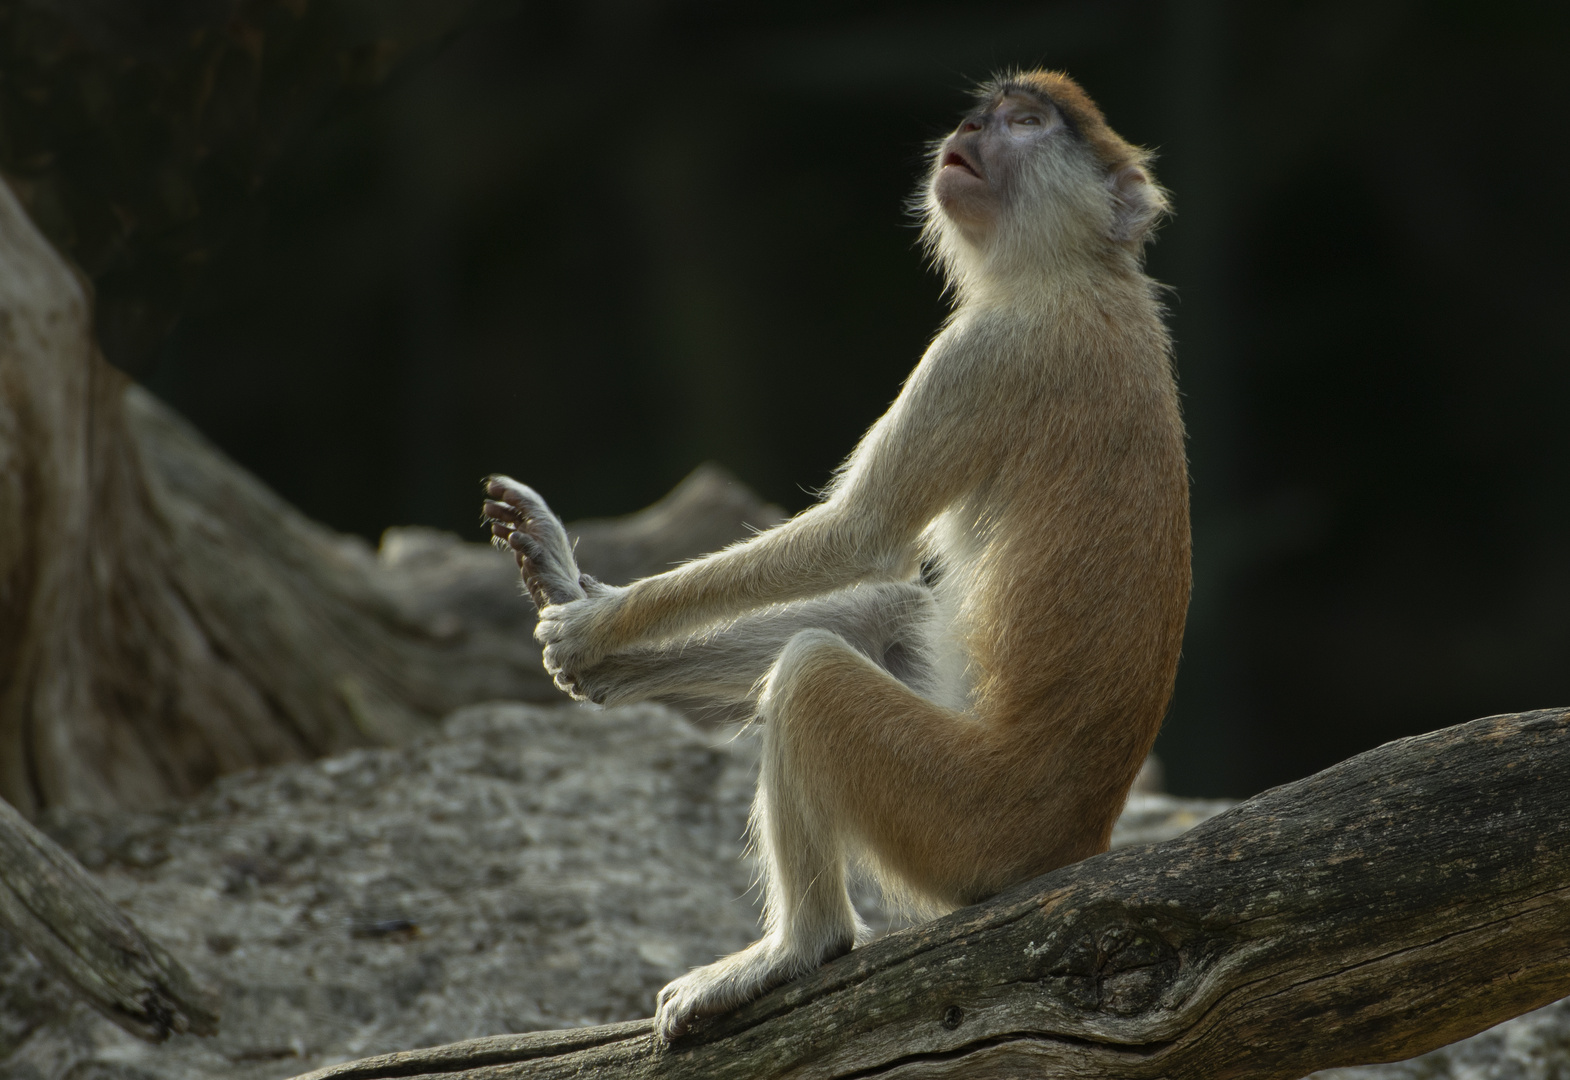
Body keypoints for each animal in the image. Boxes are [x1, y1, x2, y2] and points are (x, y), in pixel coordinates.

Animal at [483, 69, 1180, 1048]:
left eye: (1026, 121)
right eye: (987, 112)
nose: (968, 132)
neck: (1088, 268)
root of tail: (1076, 845)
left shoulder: (987, 354)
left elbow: (860, 531)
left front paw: (592, 624)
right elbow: (868, 578)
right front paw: (573, 597)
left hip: (962, 818)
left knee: (815, 675)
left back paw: (796, 950)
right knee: (872, 615)